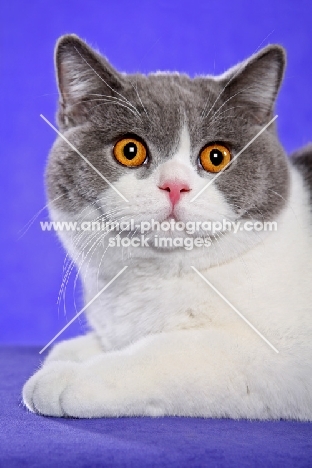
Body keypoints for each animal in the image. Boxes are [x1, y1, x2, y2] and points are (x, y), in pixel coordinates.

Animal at [22, 34, 312, 418]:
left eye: (216, 156)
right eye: (129, 150)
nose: (175, 185)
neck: (158, 276)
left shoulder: (280, 357)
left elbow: (167, 352)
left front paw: (68, 378)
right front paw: (73, 351)